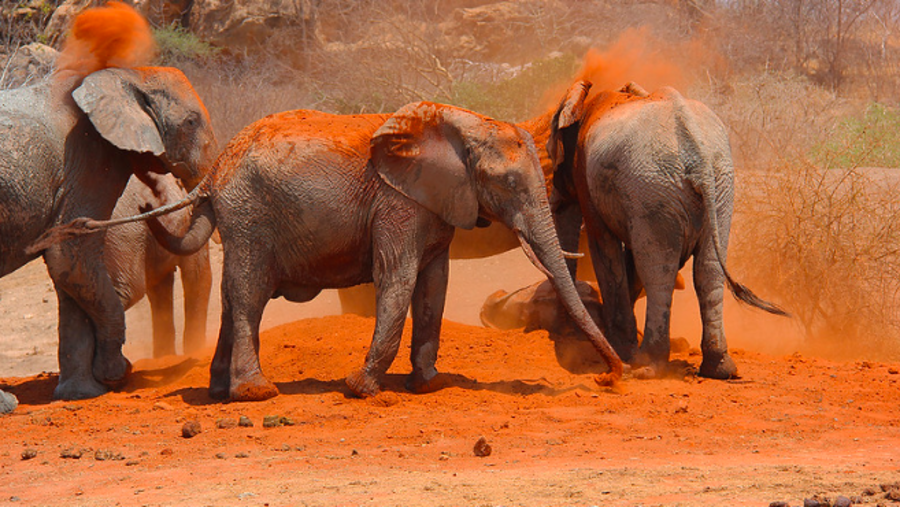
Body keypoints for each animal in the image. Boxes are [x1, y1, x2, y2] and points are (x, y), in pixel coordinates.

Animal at [105, 173, 212, 358]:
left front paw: (166, 357)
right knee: (128, 291)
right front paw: (194, 350)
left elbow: (160, 288)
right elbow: (197, 275)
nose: (145, 207)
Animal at [148, 102, 623, 401]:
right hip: (249, 215)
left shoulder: (435, 205)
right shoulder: (399, 203)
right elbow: (398, 277)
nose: (608, 378)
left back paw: (218, 392)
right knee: (249, 295)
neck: (461, 120)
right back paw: (255, 393)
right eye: (507, 183)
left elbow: (434, 285)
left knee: (233, 298)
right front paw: (360, 387)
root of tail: (215, 170)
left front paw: (427, 384)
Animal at [547, 80, 787, 379]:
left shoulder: (588, 179)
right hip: (718, 187)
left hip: (654, 186)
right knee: (707, 270)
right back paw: (720, 368)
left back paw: (647, 365)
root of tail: (698, 155)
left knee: (658, 269)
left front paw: (620, 348)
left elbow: (606, 251)